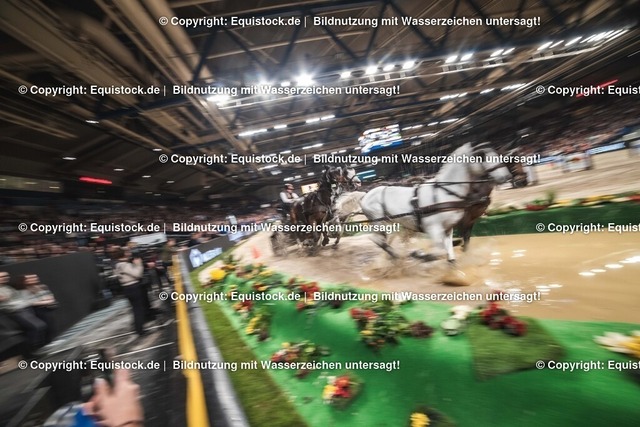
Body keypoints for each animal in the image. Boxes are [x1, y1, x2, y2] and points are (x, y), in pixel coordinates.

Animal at [358, 142, 512, 263]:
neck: (446, 192)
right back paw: (396, 257)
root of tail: (365, 196)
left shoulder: (449, 228)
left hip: (392, 223)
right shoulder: (434, 228)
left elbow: (451, 253)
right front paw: (420, 255)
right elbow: (439, 250)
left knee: (386, 240)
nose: (507, 176)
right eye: (482, 155)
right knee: (377, 240)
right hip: (379, 222)